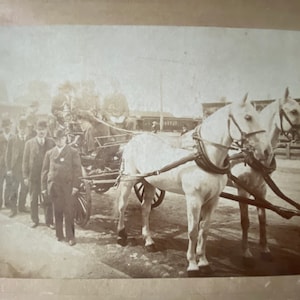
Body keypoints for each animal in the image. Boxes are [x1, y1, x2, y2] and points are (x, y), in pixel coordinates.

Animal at [116, 95, 270, 276]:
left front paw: (203, 262)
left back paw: (148, 241)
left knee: (145, 209)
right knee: (122, 205)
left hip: (148, 182)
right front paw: (192, 265)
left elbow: (204, 230)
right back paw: (121, 235)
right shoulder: (194, 199)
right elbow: (193, 231)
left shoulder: (213, 200)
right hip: (129, 179)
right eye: (248, 117)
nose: (267, 151)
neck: (204, 157)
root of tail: (134, 139)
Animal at [230, 88, 300, 266]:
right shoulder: (242, 190)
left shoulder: (261, 190)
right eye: (294, 111)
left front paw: (265, 249)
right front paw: (246, 253)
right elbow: (245, 221)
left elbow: (262, 219)